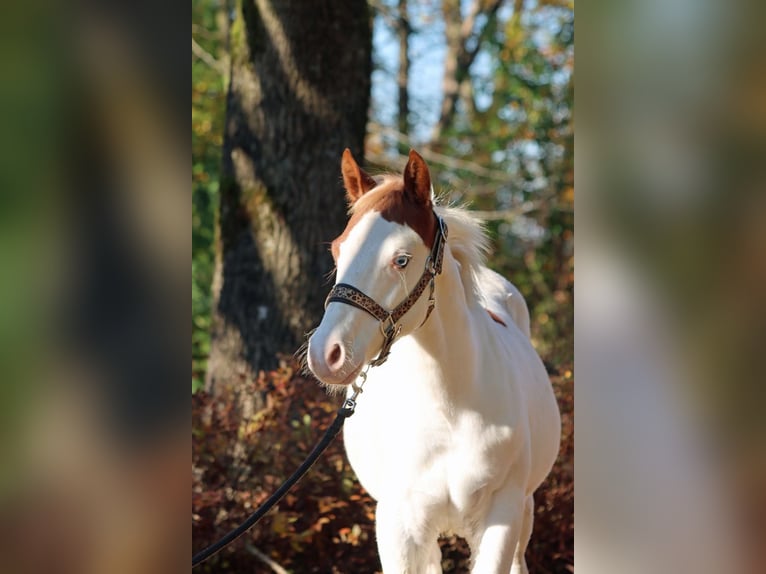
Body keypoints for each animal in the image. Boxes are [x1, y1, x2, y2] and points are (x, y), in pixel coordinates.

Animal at [308, 150, 564, 574]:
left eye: (401, 259)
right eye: (337, 250)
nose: (326, 353)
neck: (450, 410)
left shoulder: (503, 515)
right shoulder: (397, 523)